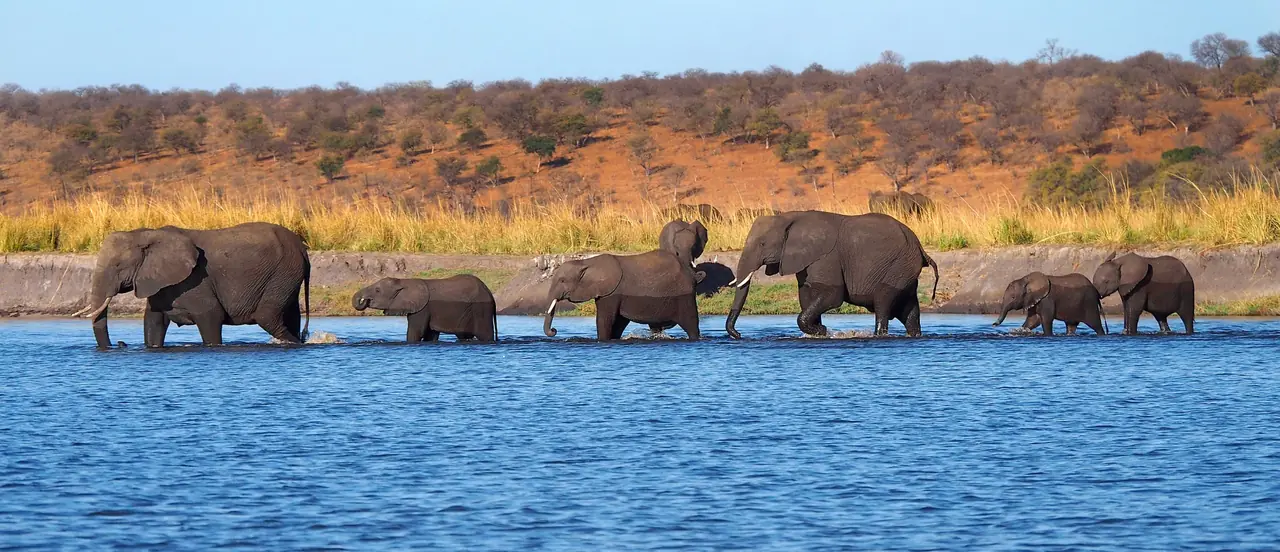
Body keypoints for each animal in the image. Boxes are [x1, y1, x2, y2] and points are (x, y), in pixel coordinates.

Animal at [72, 222, 310, 348]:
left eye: (118, 266)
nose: (120, 343)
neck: (146, 234)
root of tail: (302, 248)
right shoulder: (159, 282)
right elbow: (153, 322)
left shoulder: (196, 280)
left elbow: (210, 316)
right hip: (288, 275)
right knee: (291, 316)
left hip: (282, 272)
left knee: (267, 316)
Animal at [352, 275, 497, 342]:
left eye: (377, 290)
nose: (363, 300)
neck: (404, 281)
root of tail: (490, 294)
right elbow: (430, 335)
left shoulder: (422, 309)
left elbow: (416, 332)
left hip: (481, 310)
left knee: (485, 335)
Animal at [543, 251, 700, 341]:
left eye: (562, 281)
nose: (554, 330)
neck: (587, 262)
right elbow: (617, 323)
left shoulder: (611, 293)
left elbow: (604, 320)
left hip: (684, 296)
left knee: (691, 324)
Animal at [725, 211, 938, 338]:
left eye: (762, 244)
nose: (739, 335)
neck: (790, 216)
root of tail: (920, 247)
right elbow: (806, 296)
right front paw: (818, 333)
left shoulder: (827, 257)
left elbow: (832, 296)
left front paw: (822, 331)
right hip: (905, 270)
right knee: (909, 310)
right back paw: (914, 335)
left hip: (898, 265)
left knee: (883, 302)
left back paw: (878, 335)